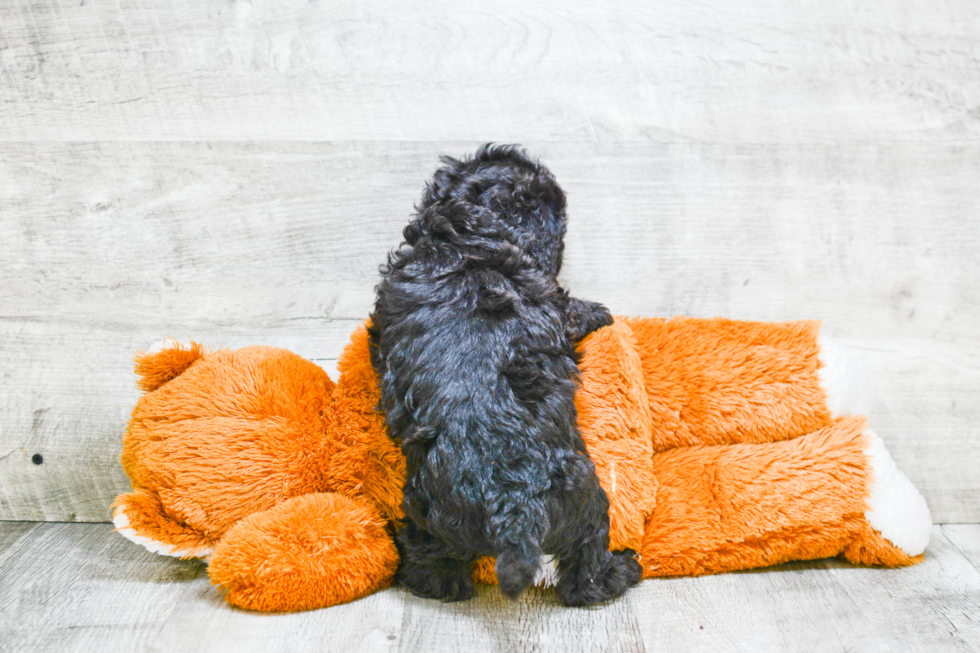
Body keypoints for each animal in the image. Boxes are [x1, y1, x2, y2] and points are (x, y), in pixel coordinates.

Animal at [368, 145, 644, 604]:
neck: (463, 237)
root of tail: (511, 507)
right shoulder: (554, 302)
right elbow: (573, 309)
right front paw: (600, 312)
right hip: (585, 498)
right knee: (585, 568)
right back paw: (621, 571)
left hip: (431, 515)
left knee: (436, 569)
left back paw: (416, 570)